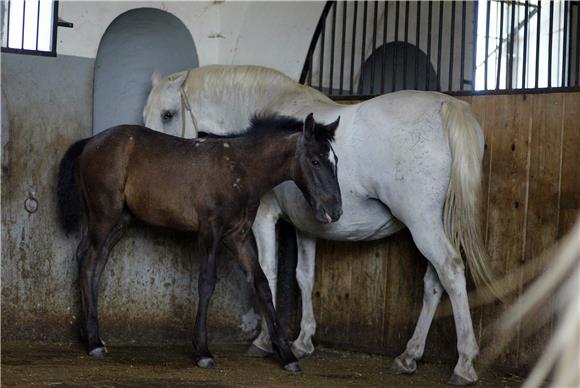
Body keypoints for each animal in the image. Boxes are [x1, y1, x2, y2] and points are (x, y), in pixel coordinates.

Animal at [57, 111, 340, 370]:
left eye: (336, 160)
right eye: (315, 161)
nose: (334, 211)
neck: (239, 169)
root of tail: (91, 141)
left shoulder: (238, 236)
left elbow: (260, 283)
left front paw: (287, 355)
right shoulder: (210, 230)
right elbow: (206, 282)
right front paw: (202, 351)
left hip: (120, 221)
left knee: (97, 261)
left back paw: (93, 336)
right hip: (104, 214)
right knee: (87, 257)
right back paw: (93, 342)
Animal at [143, 64, 496, 384]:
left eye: (168, 114)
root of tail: (448, 107)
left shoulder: (263, 217)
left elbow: (267, 273)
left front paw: (265, 341)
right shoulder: (306, 225)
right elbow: (304, 277)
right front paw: (302, 341)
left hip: (422, 224)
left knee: (451, 270)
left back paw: (464, 364)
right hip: (436, 224)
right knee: (434, 283)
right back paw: (408, 356)